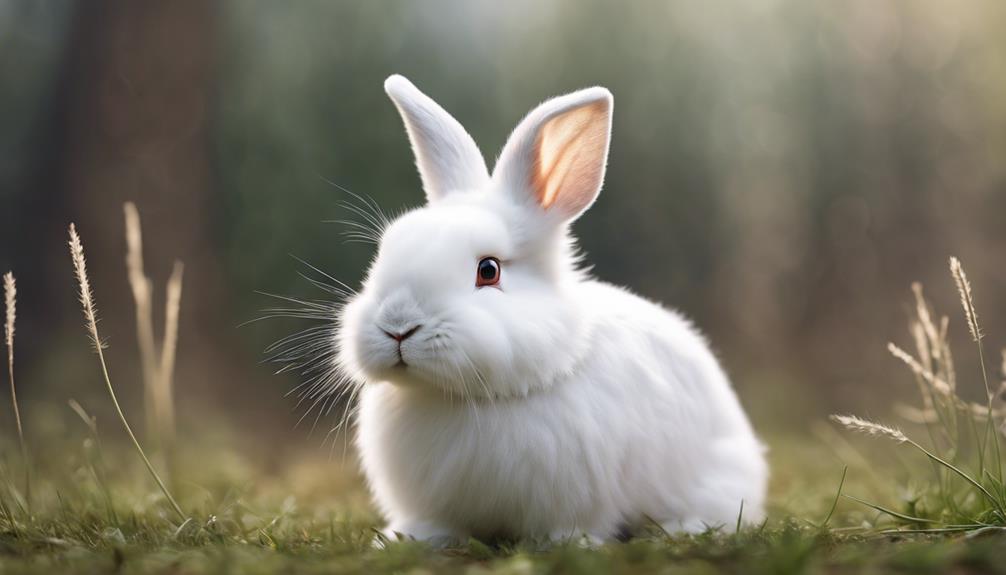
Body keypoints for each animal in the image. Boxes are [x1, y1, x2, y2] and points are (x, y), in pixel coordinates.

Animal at [335, 74, 768, 544]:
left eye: (488, 270)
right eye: (386, 251)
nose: (398, 327)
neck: (466, 397)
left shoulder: (577, 496)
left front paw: (571, 544)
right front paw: (407, 540)